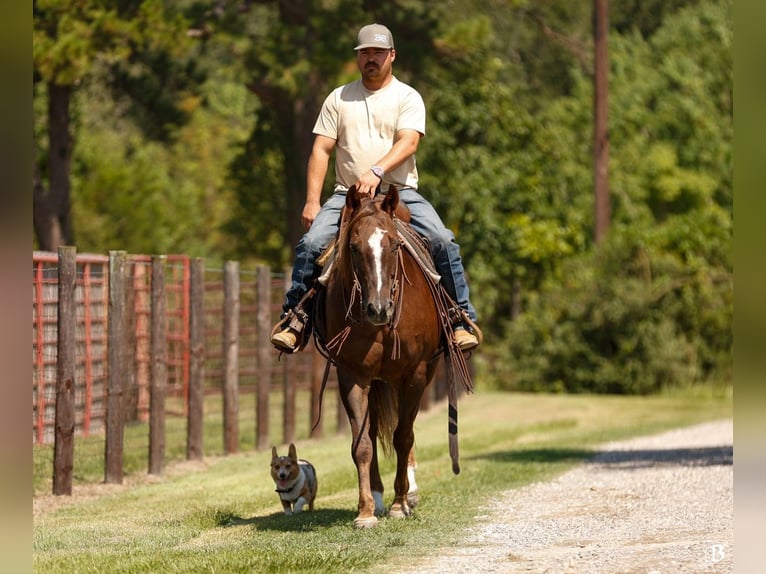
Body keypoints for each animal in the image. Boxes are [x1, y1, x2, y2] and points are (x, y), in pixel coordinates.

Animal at [314, 185, 474, 528]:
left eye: (394, 244)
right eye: (353, 247)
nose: (378, 309)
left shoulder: (415, 373)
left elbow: (403, 436)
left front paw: (401, 503)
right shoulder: (353, 375)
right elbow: (362, 443)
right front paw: (365, 512)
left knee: (405, 431)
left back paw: (409, 493)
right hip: (375, 382)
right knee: (374, 433)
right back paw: (377, 498)